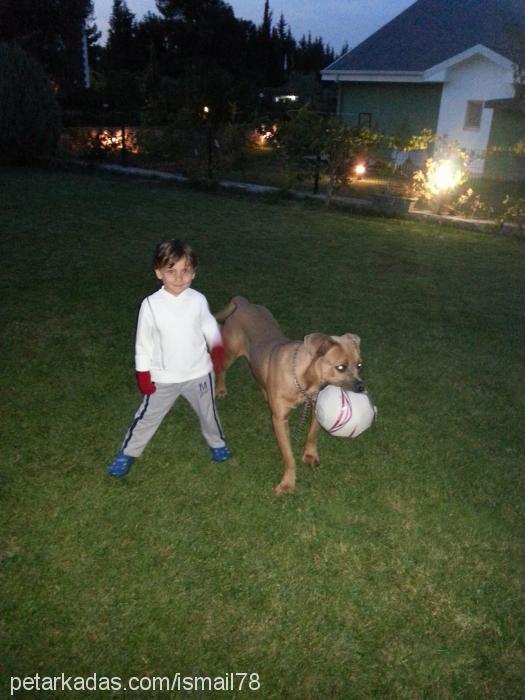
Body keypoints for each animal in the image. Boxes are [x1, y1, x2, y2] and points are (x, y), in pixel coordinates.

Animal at [214, 298, 364, 494]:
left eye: (359, 365)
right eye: (340, 367)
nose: (362, 386)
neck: (304, 381)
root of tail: (244, 302)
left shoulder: (316, 407)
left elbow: (312, 434)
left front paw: (310, 455)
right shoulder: (279, 420)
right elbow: (288, 456)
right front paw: (288, 483)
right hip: (230, 352)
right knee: (221, 368)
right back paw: (220, 389)